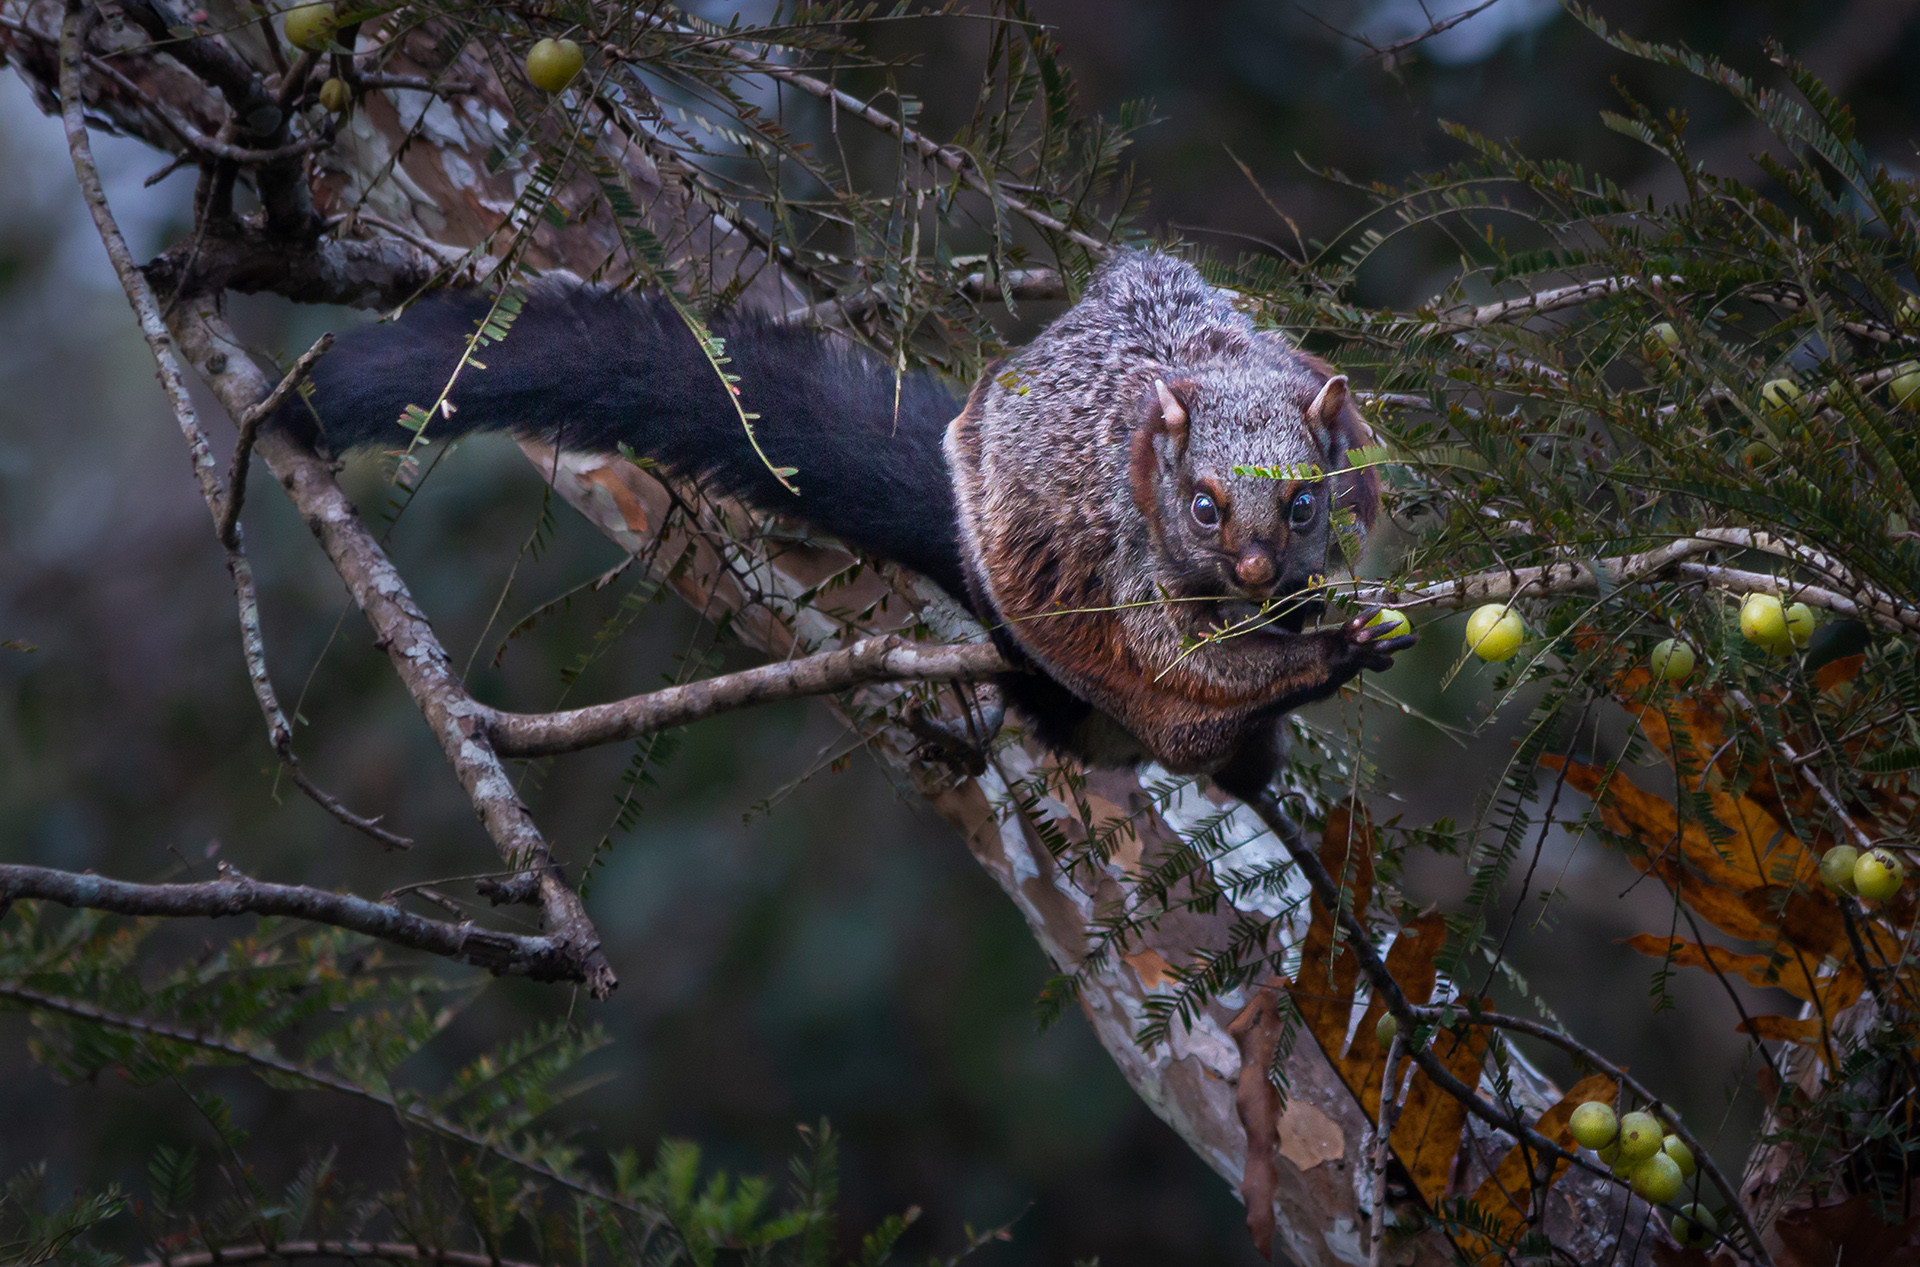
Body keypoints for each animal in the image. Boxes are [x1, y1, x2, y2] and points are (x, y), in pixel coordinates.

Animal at [274, 250, 1415, 799]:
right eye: (1204, 506)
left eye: (1305, 502)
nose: (1260, 565)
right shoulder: (1126, 556)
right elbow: (1177, 656)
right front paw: (1323, 656)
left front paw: (1326, 619)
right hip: (1030, 615)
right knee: (1146, 707)